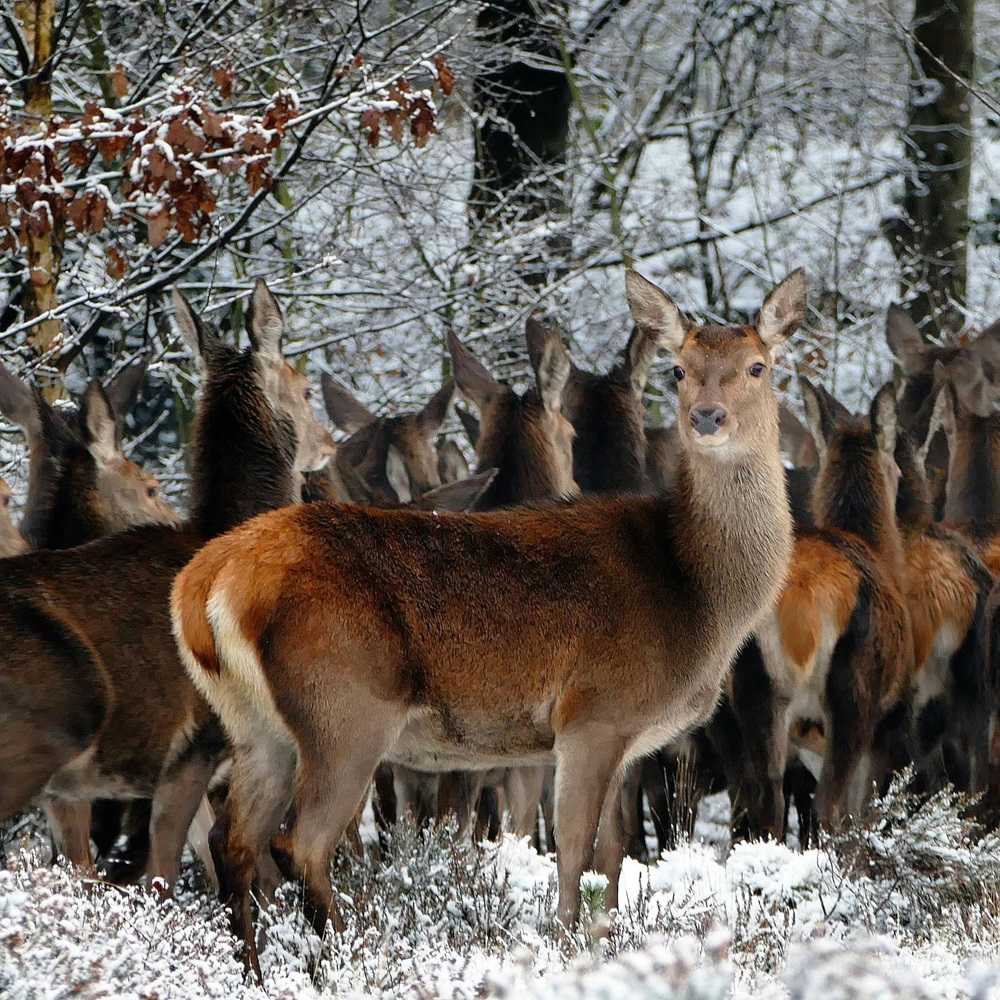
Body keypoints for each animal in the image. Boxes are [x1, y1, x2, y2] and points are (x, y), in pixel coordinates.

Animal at [170, 268, 804, 976]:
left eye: (757, 365)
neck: (697, 594)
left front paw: (609, 947)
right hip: (345, 705)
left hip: (257, 726)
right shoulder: (592, 712)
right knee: (297, 842)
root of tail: (205, 582)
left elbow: (612, 860)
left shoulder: (626, 737)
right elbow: (573, 854)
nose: (707, 417)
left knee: (231, 839)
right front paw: (568, 950)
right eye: (679, 369)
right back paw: (350, 953)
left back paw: (254, 968)